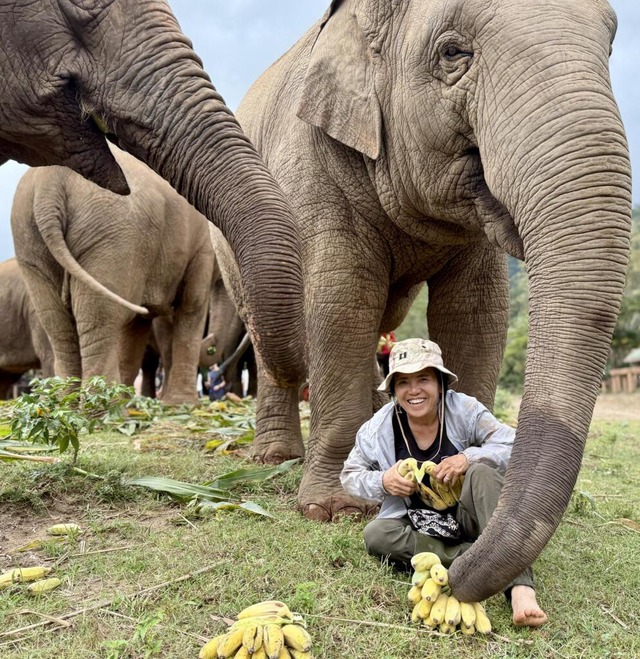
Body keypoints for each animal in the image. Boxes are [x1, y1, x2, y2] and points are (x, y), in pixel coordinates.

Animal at [11, 143, 214, 405]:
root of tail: (49, 190)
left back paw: (72, 407)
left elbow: (138, 325)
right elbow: (191, 306)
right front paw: (181, 405)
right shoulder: (202, 248)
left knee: (59, 326)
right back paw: (106, 411)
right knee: (101, 319)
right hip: (111, 238)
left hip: (31, 244)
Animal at [231, 0, 632, 602]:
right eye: (453, 52)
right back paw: (276, 457)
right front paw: (334, 510)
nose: (456, 577)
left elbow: (475, 312)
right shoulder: (314, 165)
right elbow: (342, 300)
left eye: (610, 45)